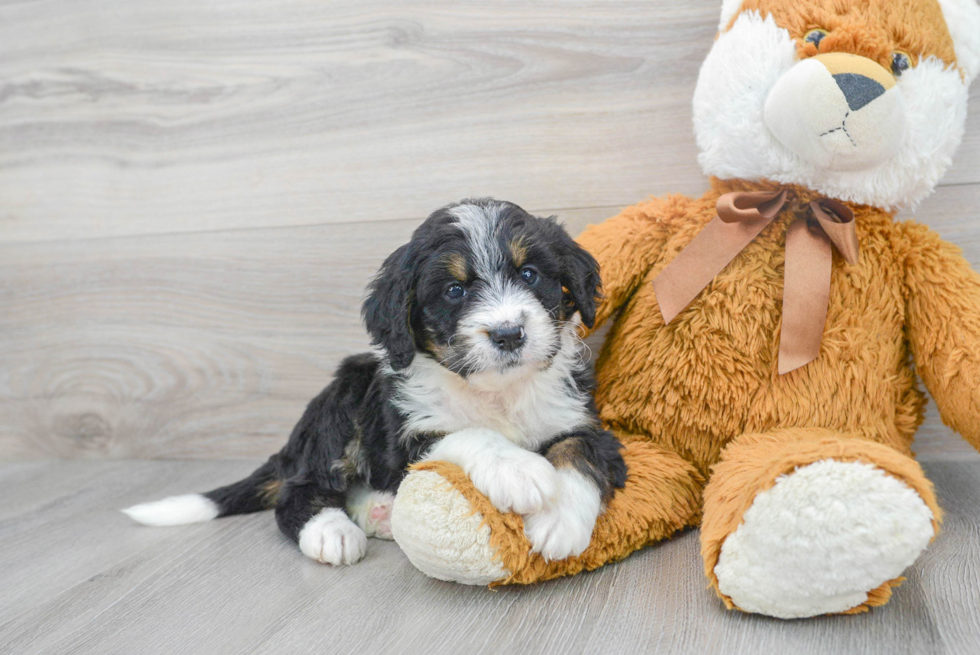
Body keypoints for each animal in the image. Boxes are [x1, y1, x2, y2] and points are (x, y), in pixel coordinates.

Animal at [124, 199, 628, 564]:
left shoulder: (581, 420)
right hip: (344, 396)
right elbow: (470, 433)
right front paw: (517, 470)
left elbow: (578, 452)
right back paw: (331, 531)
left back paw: (379, 514)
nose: (508, 333)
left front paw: (560, 522)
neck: (495, 391)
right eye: (454, 291)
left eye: (529, 273)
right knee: (297, 491)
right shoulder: (407, 438)